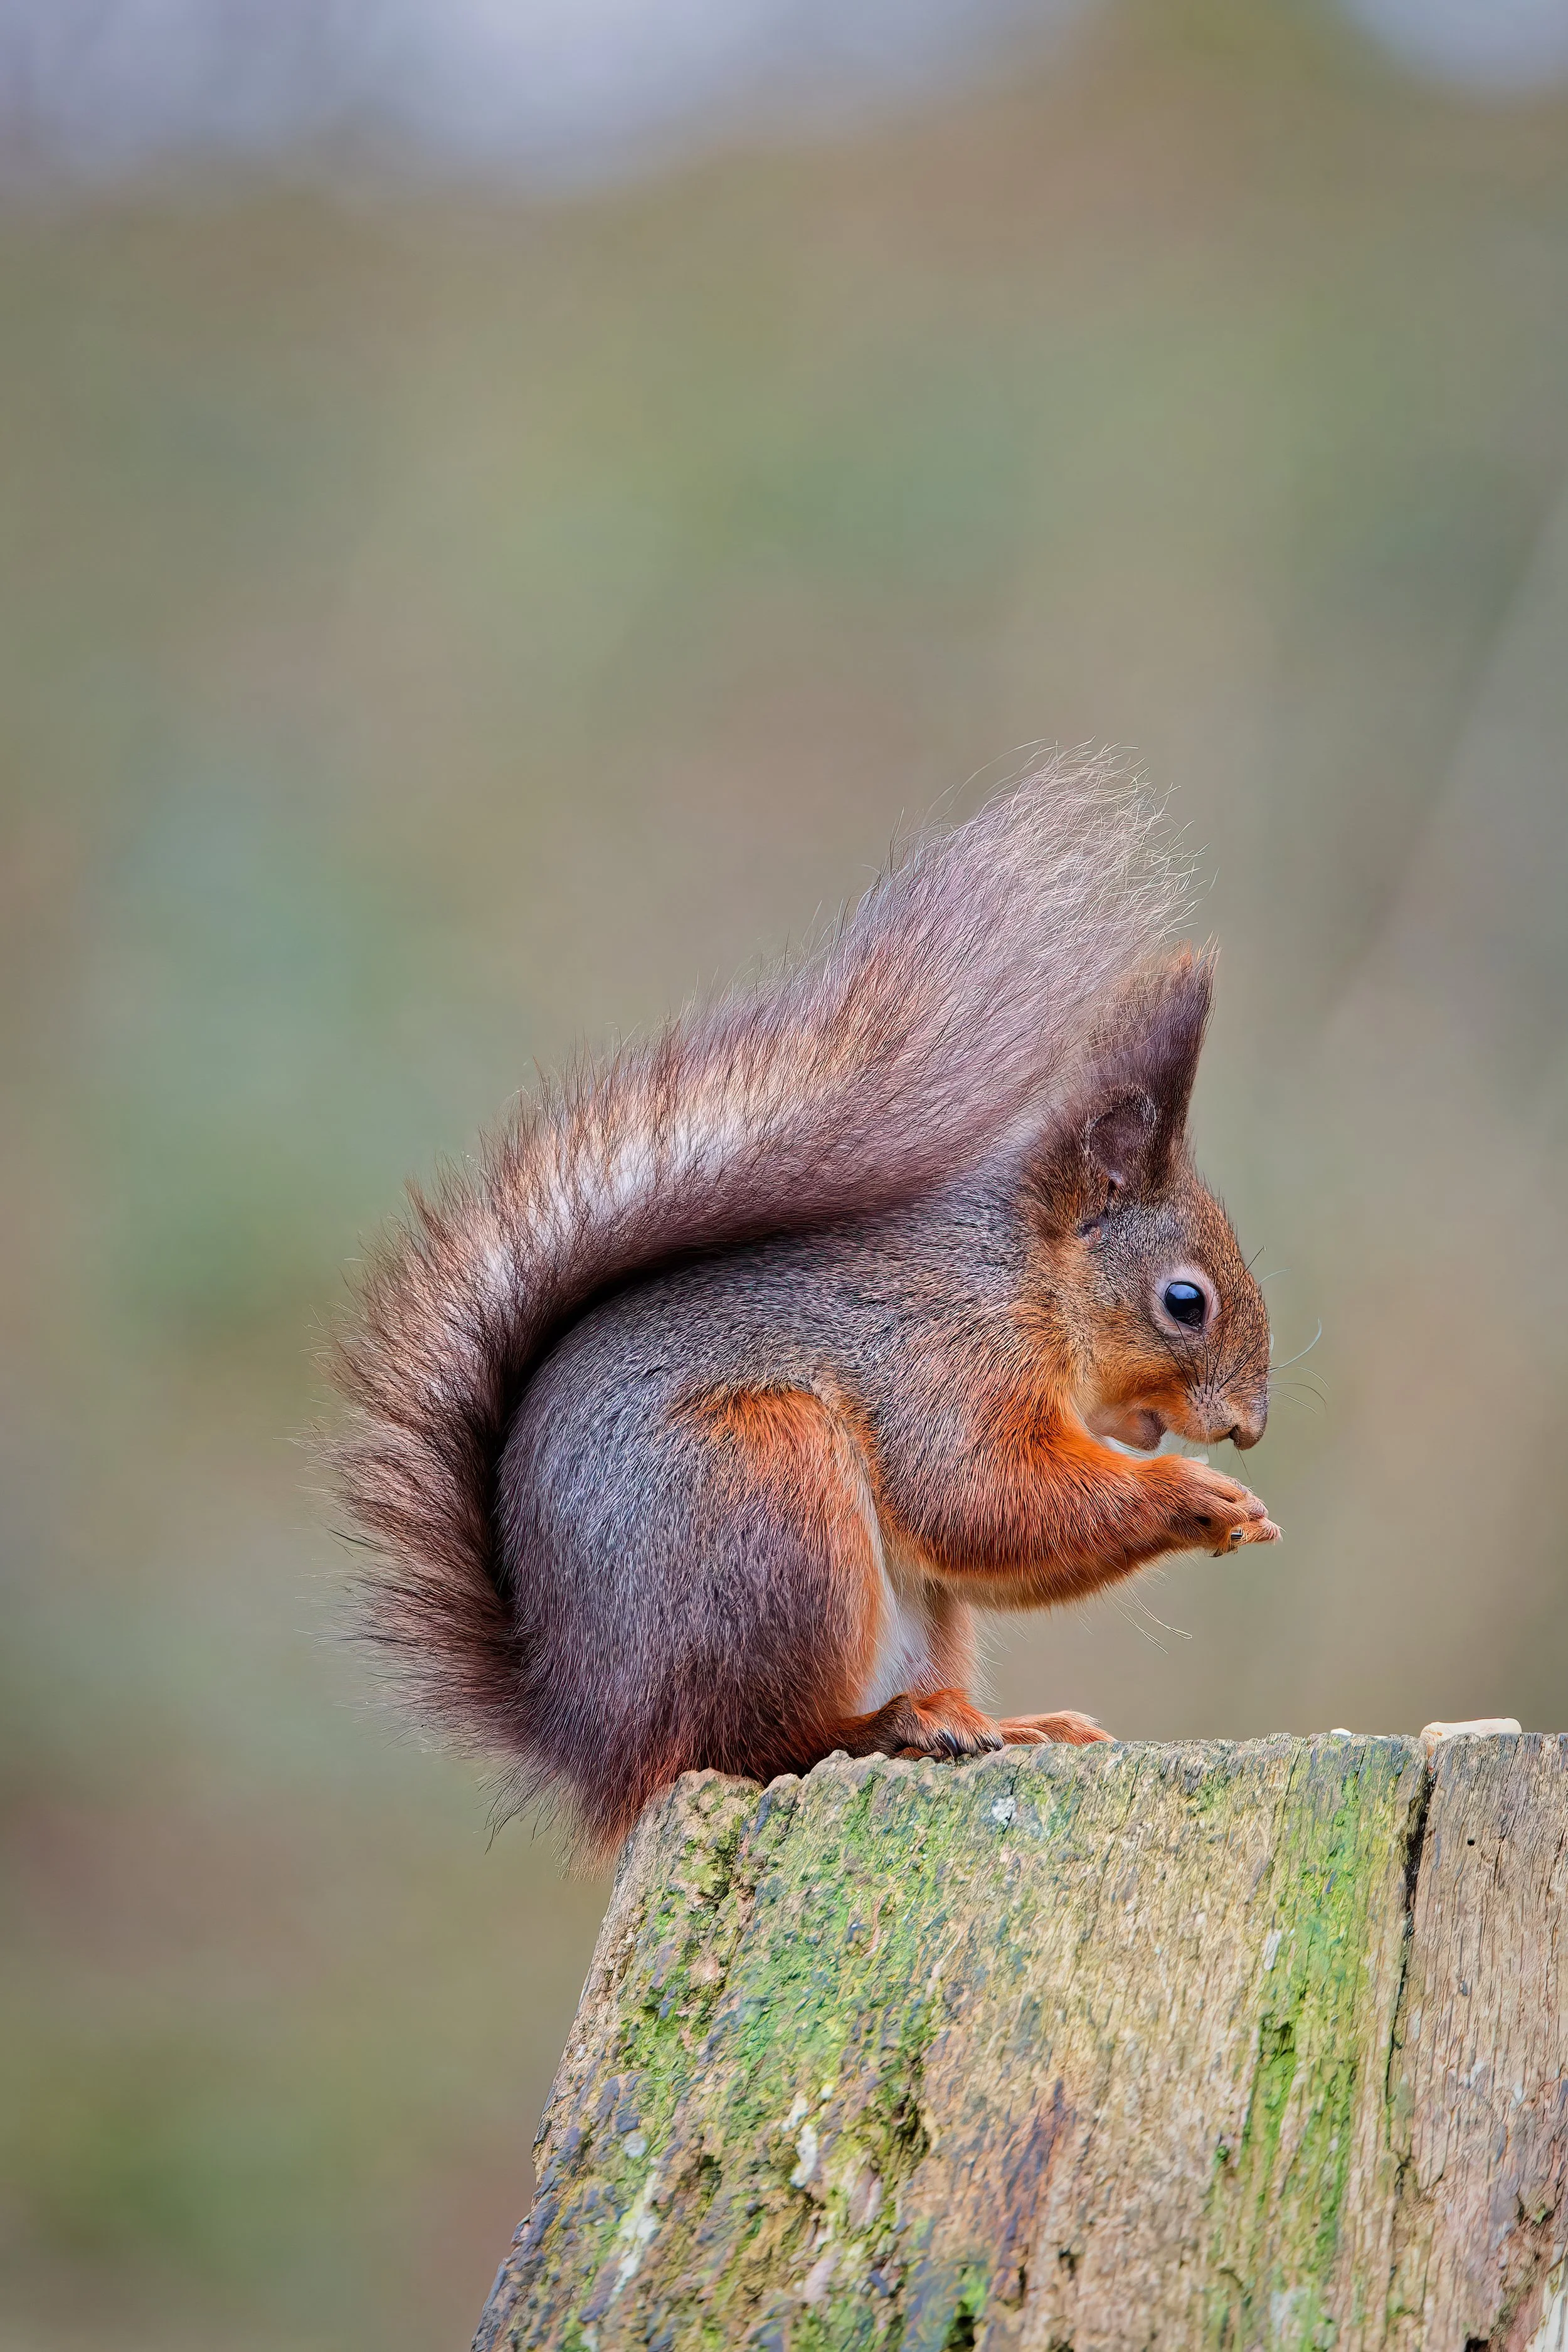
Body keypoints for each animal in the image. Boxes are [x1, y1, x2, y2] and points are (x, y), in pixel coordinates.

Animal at [330, 751, 1279, 1857]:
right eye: (1185, 1300)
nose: (1248, 1428)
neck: (1021, 1280)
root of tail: (592, 1734)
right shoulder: (942, 1361)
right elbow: (980, 1497)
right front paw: (1195, 1496)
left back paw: (1010, 1724)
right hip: (770, 1496)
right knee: (756, 1739)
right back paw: (893, 1723)